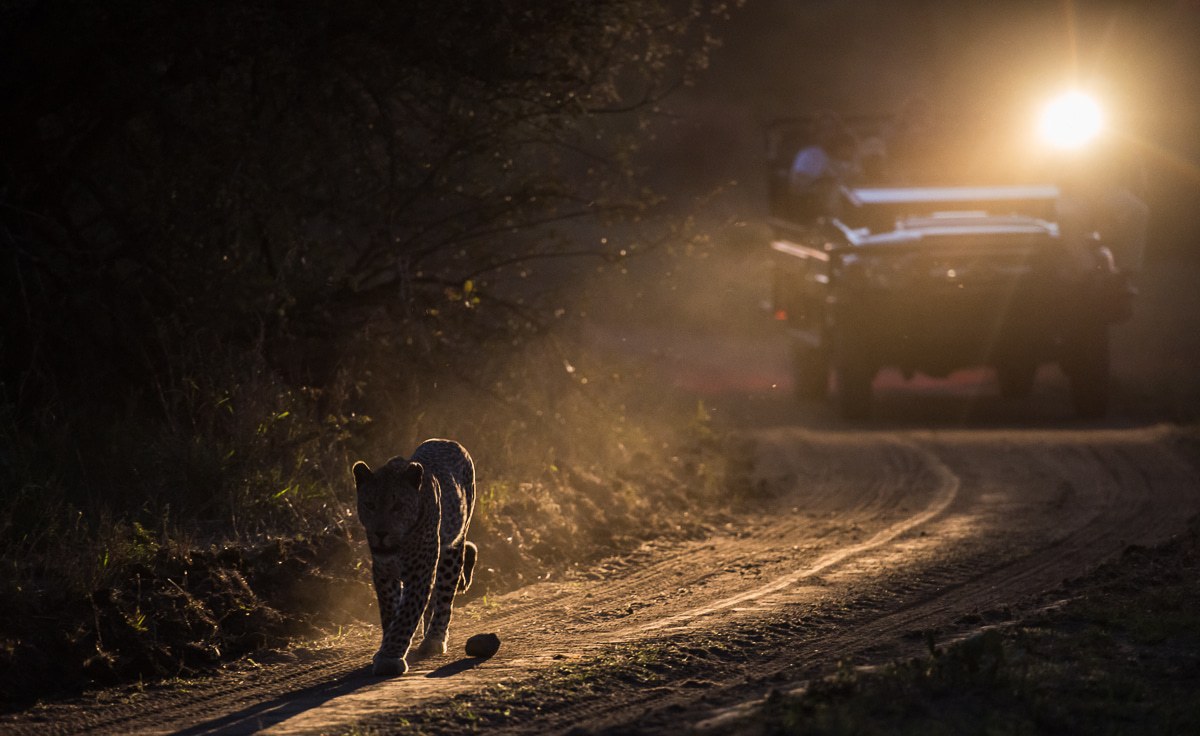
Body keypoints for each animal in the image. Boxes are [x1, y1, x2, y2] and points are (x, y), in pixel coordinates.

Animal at [352, 438, 477, 676]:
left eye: (398, 506)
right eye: (370, 505)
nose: (381, 533)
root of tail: (446, 441)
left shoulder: (419, 572)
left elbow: (407, 614)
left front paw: (390, 658)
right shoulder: (383, 573)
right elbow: (391, 612)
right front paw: (388, 648)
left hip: (453, 548)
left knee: (444, 598)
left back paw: (434, 639)